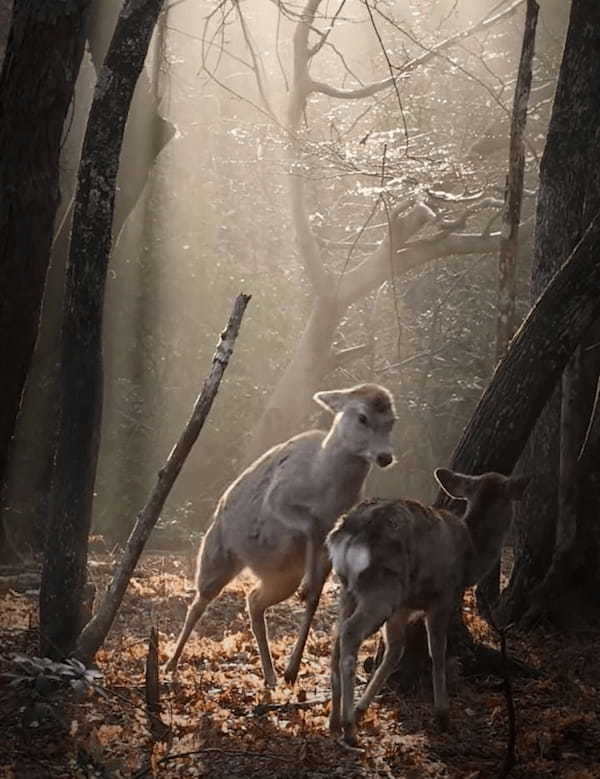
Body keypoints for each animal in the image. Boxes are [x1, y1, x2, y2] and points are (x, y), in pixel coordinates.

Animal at [165, 384, 398, 688]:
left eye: (392, 421)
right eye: (362, 417)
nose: (385, 457)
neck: (326, 490)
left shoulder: (335, 537)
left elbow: (315, 597)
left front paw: (292, 669)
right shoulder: (278, 498)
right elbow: (309, 525)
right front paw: (307, 586)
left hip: (281, 576)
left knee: (253, 599)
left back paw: (272, 675)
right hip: (217, 552)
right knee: (199, 601)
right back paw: (170, 663)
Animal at [326, 466, 528, 748]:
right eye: (510, 498)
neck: (471, 558)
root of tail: (347, 531)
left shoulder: (405, 608)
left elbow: (394, 652)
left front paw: (361, 708)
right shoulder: (442, 597)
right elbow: (438, 652)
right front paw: (442, 714)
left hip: (349, 589)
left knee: (336, 637)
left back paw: (334, 719)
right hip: (383, 588)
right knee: (350, 633)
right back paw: (349, 729)